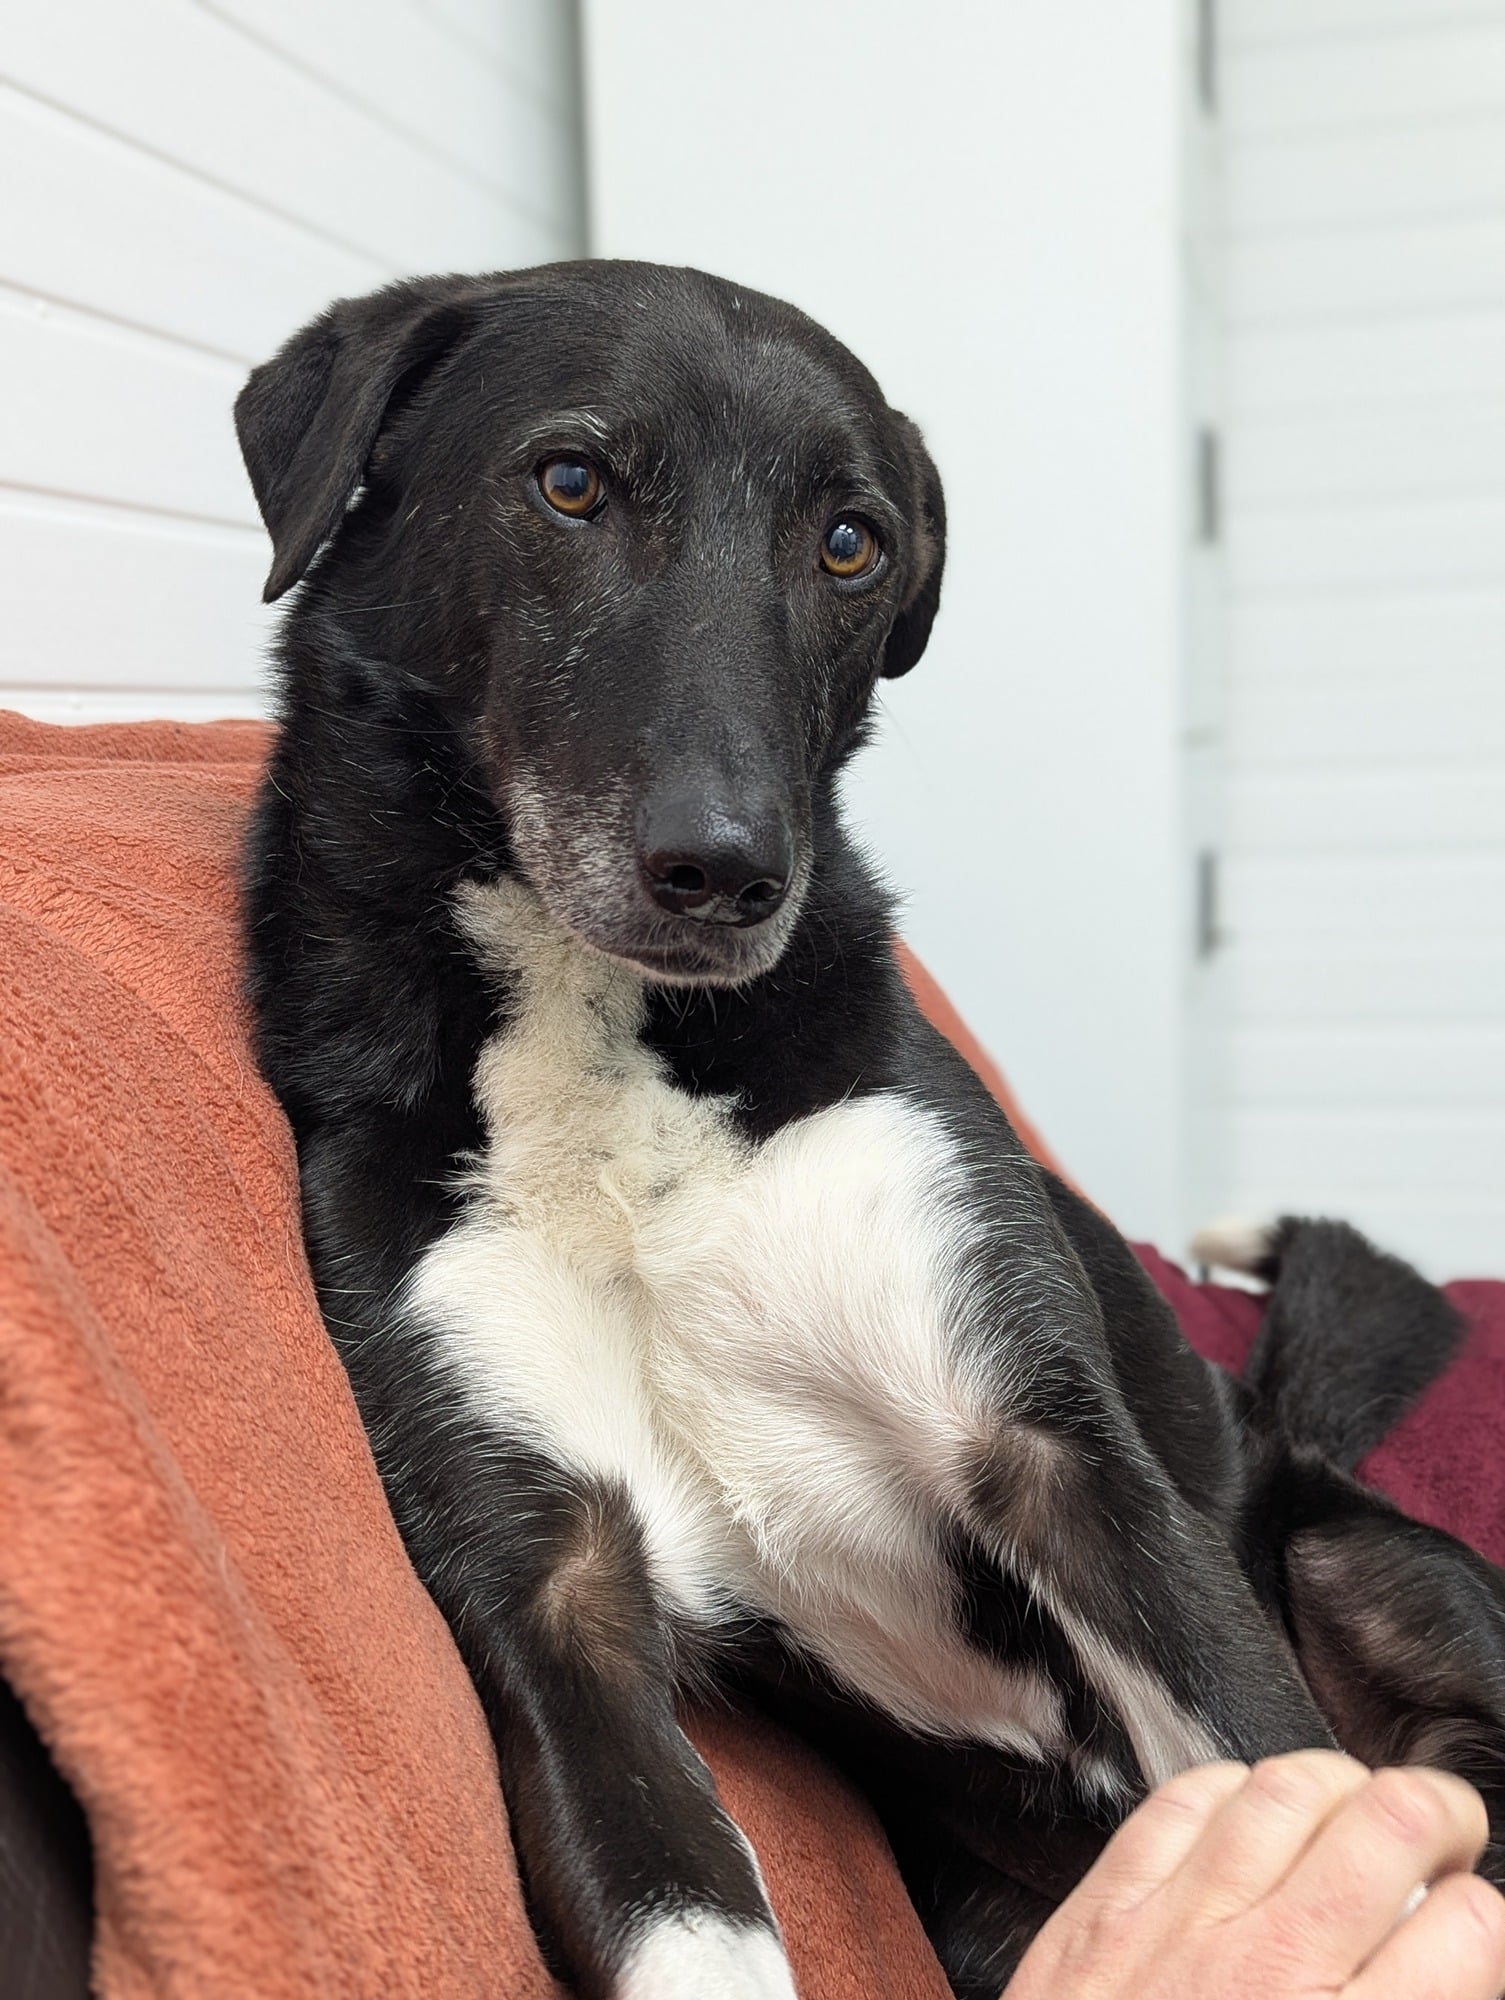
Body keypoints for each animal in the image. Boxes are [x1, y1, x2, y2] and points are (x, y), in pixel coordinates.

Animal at [235, 263, 1505, 1999]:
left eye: (851, 543)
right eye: (569, 481)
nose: (726, 873)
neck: (611, 1045)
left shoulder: (1054, 1457)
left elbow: (1269, 1751)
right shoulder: (550, 1584)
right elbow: (683, 1914)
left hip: (1362, 1563)